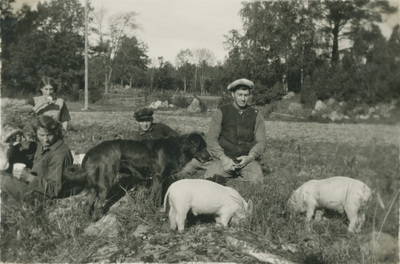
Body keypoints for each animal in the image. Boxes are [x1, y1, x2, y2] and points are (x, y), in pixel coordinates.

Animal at [76, 132, 211, 221]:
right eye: (202, 147)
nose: (210, 158)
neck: (178, 149)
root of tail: (91, 152)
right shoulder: (158, 177)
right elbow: (156, 194)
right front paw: (156, 207)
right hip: (105, 182)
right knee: (97, 204)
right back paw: (98, 218)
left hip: (94, 186)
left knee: (87, 204)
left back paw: (87, 219)